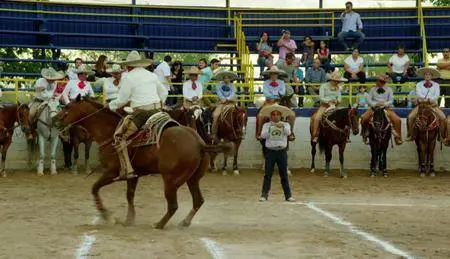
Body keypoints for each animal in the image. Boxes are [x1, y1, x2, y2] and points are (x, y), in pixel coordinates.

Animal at [54, 97, 234, 230]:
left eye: (68, 107)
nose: (54, 119)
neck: (109, 132)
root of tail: (199, 143)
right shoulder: (134, 175)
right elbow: (129, 196)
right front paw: (129, 220)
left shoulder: (112, 173)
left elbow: (94, 188)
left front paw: (107, 215)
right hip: (192, 179)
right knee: (198, 201)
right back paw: (184, 222)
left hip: (171, 180)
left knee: (173, 205)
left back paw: (159, 224)